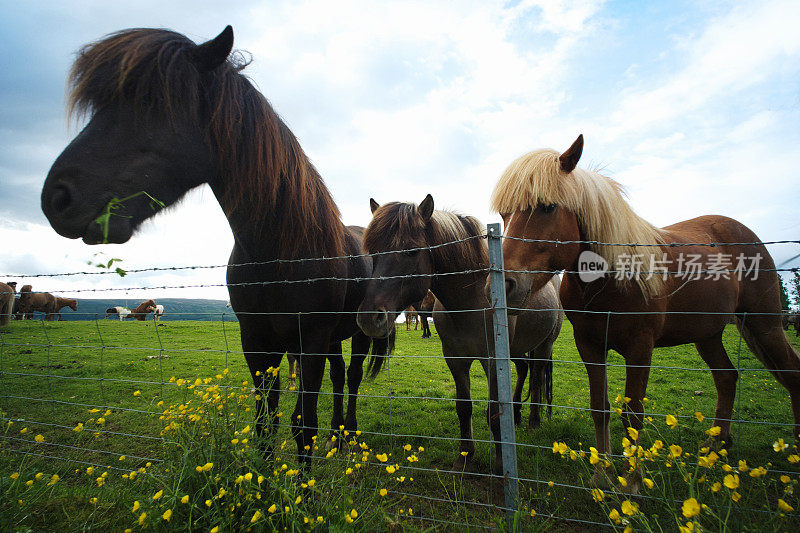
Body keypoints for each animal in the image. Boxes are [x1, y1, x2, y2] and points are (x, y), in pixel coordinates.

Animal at [39, 25, 390, 460]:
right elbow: (266, 422)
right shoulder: (257, 342)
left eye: (152, 100)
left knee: (353, 378)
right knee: (341, 378)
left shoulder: (309, 341)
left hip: (358, 333)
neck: (279, 254)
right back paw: (336, 436)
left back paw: (349, 436)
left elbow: (302, 423)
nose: (57, 198)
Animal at [356, 195, 564, 470]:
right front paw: (464, 456)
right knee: (523, 370)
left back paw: (533, 422)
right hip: (518, 350)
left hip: (544, 346)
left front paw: (501, 465)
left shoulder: (493, 361)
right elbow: (463, 407)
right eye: (373, 253)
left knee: (537, 378)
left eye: (411, 250)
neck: (471, 300)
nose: (369, 319)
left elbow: (494, 412)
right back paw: (517, 415)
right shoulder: (455, 359)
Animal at [490, 134, 800, 486]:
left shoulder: (640, 347)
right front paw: (602, 474)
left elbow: (633, 414)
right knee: (727, 378)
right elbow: (600, 407)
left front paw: (634, 482)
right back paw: (716, 444)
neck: (608, 280)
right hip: (708, 335)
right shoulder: (589, 345)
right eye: (504, 215)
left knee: (791, 373)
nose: (505, 284)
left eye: (548, 207)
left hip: (765, 325)